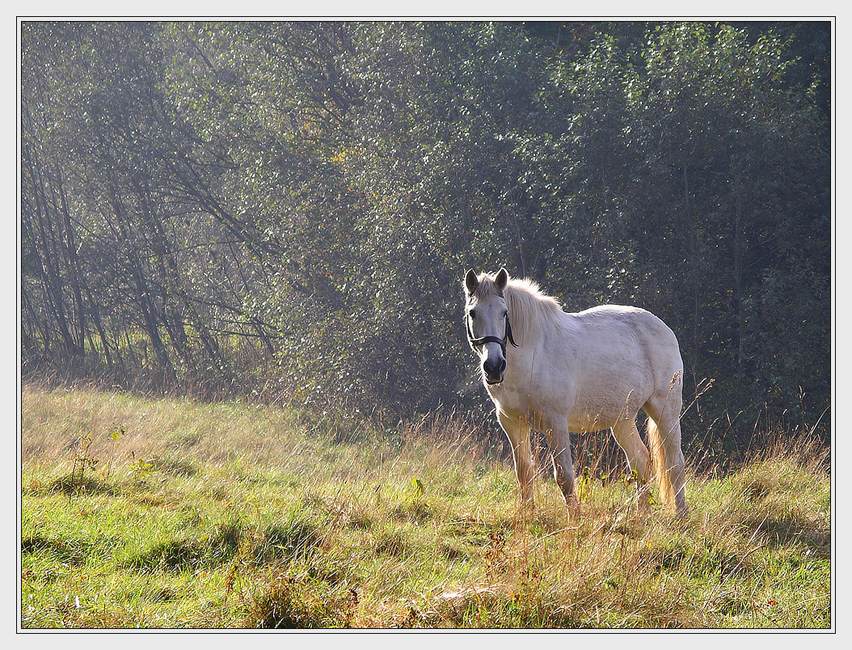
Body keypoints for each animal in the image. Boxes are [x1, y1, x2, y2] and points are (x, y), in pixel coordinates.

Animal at [462, 266, 688, 512]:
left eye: (504, 313)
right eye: (473, 313)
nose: (494, 366)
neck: (534, 354)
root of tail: (664, 329)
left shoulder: (555, 423)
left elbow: (564, 476)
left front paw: (575, 517)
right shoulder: (512, 422)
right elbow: (524, 472)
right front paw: (526, 514)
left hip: (665, 410)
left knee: (675, 464)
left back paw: (681, 515)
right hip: (622, 420)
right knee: (641, 461)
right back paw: (641, 515)